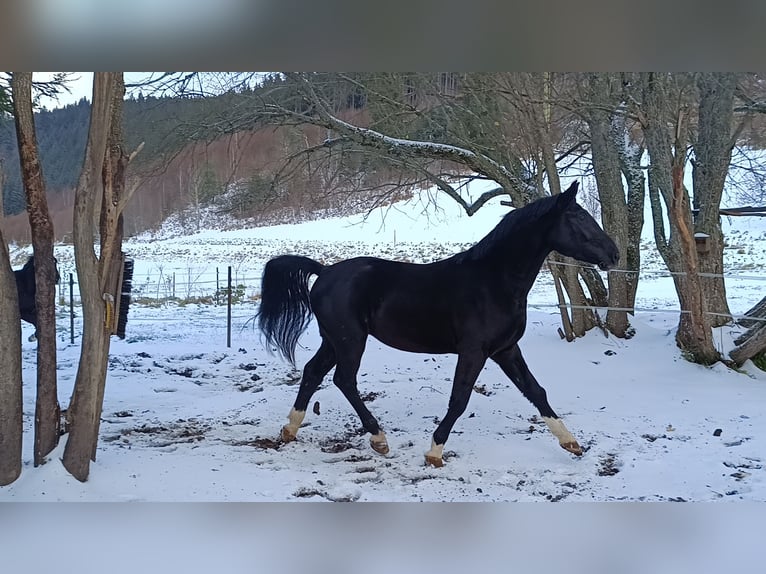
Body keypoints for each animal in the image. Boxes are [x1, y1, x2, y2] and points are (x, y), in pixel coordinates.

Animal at [260, 183, 620, 468]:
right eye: (578, 217)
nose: (614, 254)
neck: (494, 282)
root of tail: (323, 271)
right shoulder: (474, 351)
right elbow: (459, 399)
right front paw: (434, 453)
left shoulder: (505, 350)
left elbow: (536, 391)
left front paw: (571, 443)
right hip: (351, 340)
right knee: (343, 380)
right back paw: (379, 439)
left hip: (334, 340)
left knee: (313, 372)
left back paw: (290, 430)